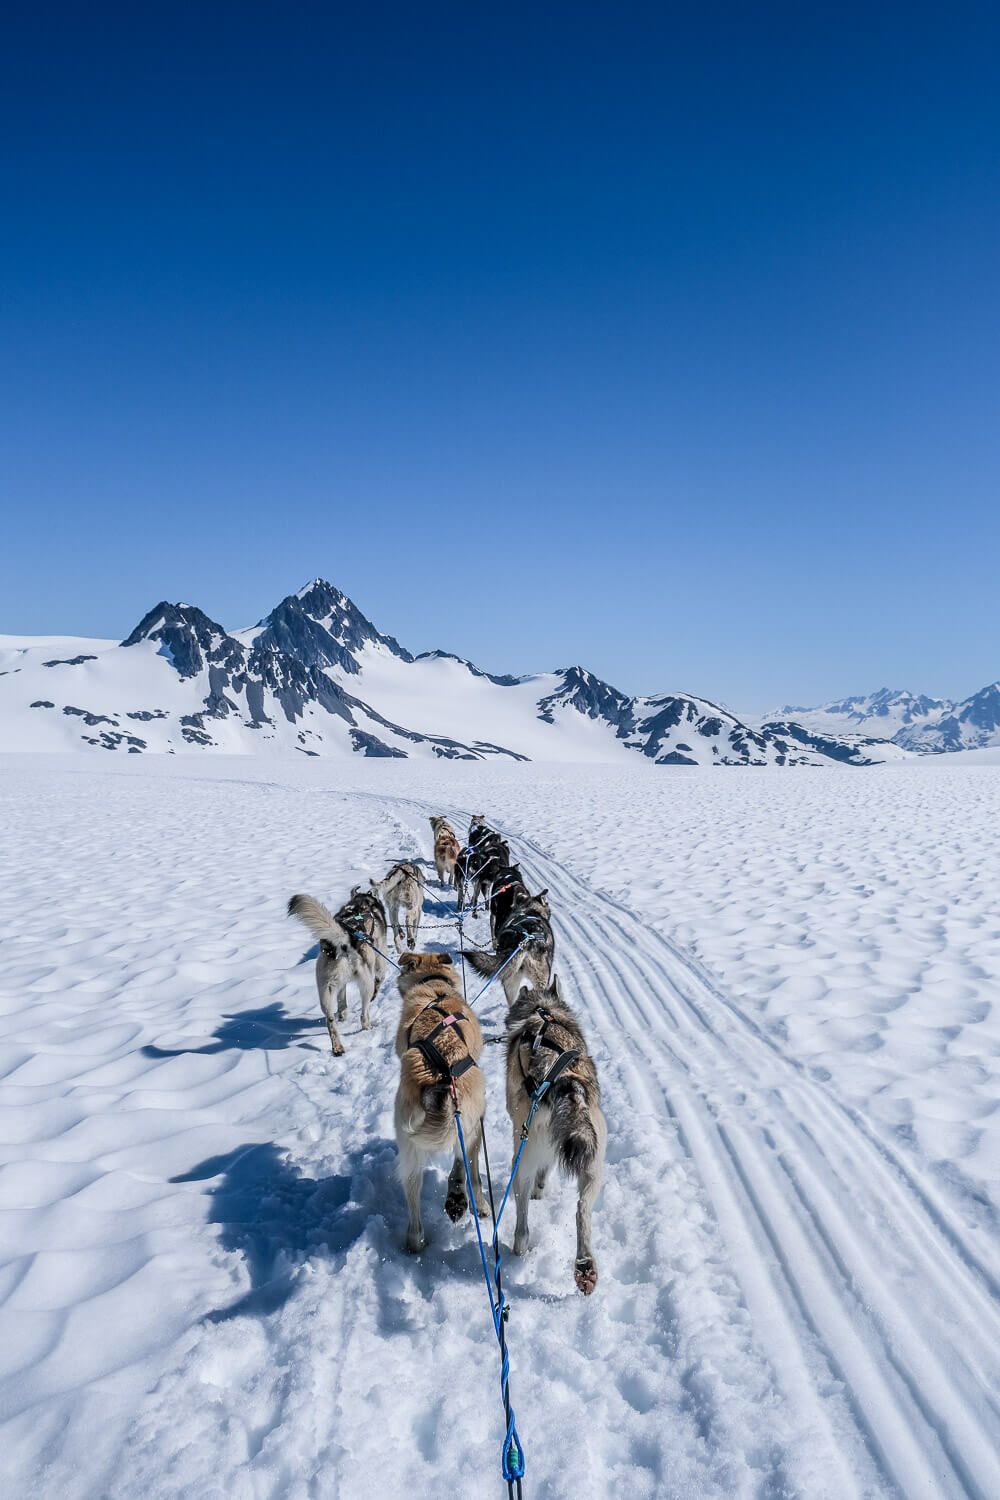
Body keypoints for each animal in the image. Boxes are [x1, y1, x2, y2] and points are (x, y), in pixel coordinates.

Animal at [287, 888, 389, 1056]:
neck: (361, 904)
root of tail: (345, 941)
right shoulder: (379, 959)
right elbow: (380, 979)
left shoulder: (339, 985)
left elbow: (342, 1002)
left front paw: (342, 1014)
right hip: (366, 984)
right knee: (364, 1013)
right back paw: (367, 1027)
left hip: (325, 990)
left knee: (330, 1021)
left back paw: (337, 1047)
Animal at [395, 954, 488, 1248]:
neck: (436, 985)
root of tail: (441, 1078)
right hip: (471, 1125)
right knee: (465, 1166)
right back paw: (464, 1197)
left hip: (409, 1143)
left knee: (413, 1186)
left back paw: (415, 1240)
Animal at [503, 978, 605, 1296]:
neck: (543, 1011)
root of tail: (564, 1080)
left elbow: (541, 1172)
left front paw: (539, 1189)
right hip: (594, 1162)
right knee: (582, 1209)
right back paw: (585, 1266)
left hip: (521, 1155)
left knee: (522, 1217)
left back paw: (519, 1246)